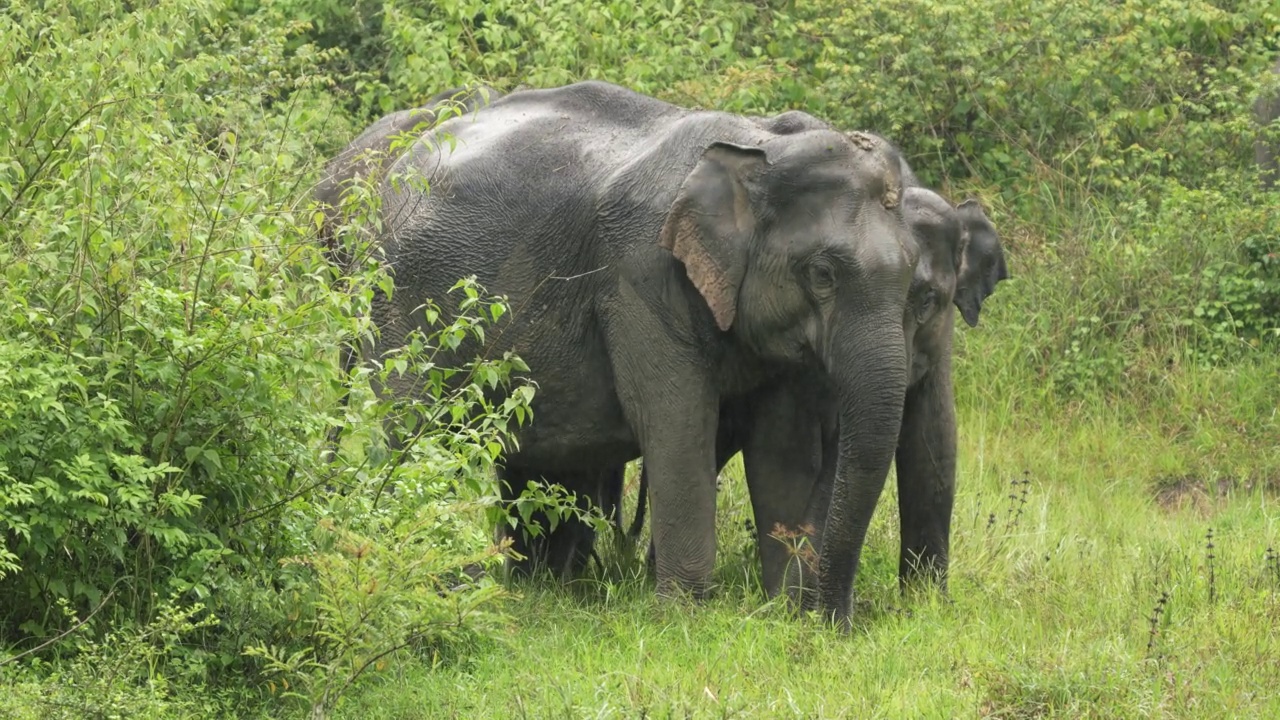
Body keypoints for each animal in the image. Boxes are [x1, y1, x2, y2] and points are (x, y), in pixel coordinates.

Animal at [322, 79, 921, 622]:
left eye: (914, 272)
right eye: (822, 274)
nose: (836, 622)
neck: (761, 142)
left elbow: (783, 447)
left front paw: (784, 614)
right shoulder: (639, 275)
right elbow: (674, 420)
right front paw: (685, 618)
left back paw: (532, 587)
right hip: (401, 308)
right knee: (415, 434)